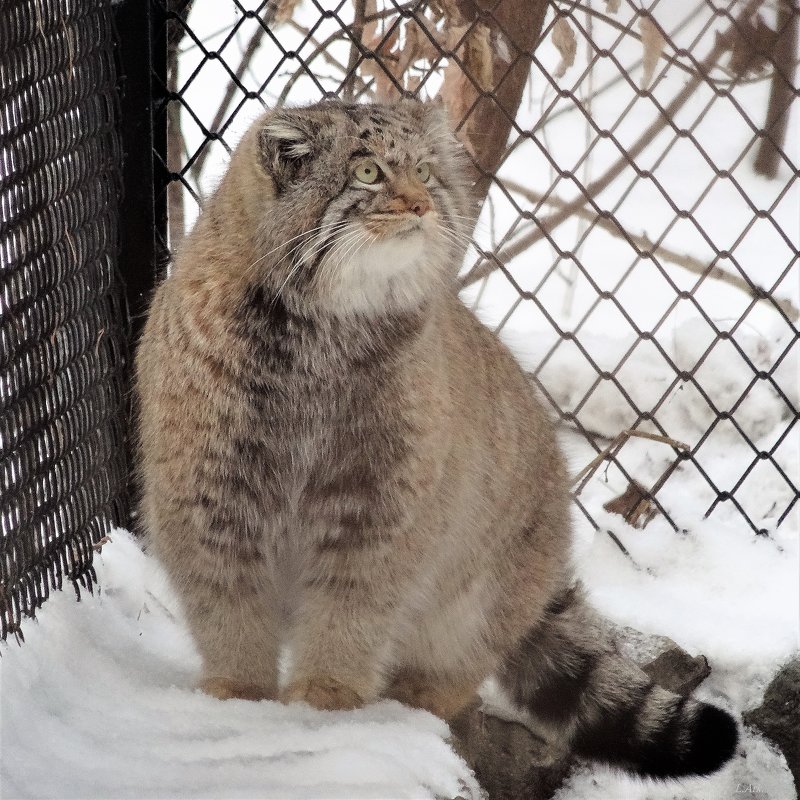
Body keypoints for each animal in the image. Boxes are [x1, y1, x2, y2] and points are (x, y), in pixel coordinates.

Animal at [133, 97, 736, 780]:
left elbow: (349, 614)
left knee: (462, 665)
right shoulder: (212, 496)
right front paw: (238, 701)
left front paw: (324, 703)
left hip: (483, 594)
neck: (322, 332)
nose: (421, 204)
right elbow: (229, 611)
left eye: (424, 171)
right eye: (367, 172)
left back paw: (415, 702)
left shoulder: (377, 509)